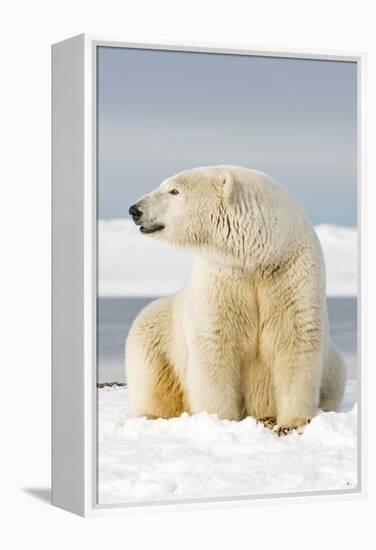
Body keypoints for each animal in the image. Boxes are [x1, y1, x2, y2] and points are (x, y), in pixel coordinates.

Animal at [125, 166, 346, 434]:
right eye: (165, 186)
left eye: (174, 190)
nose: (135, 209)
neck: (259, 258)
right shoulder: (223, 278)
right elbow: (215, 345)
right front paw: (220, 420)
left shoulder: (291, 274)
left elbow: (295, 338)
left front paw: (293, 422)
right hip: (155, 333)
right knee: (151, 377)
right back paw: (153, 415)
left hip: (334, 366)